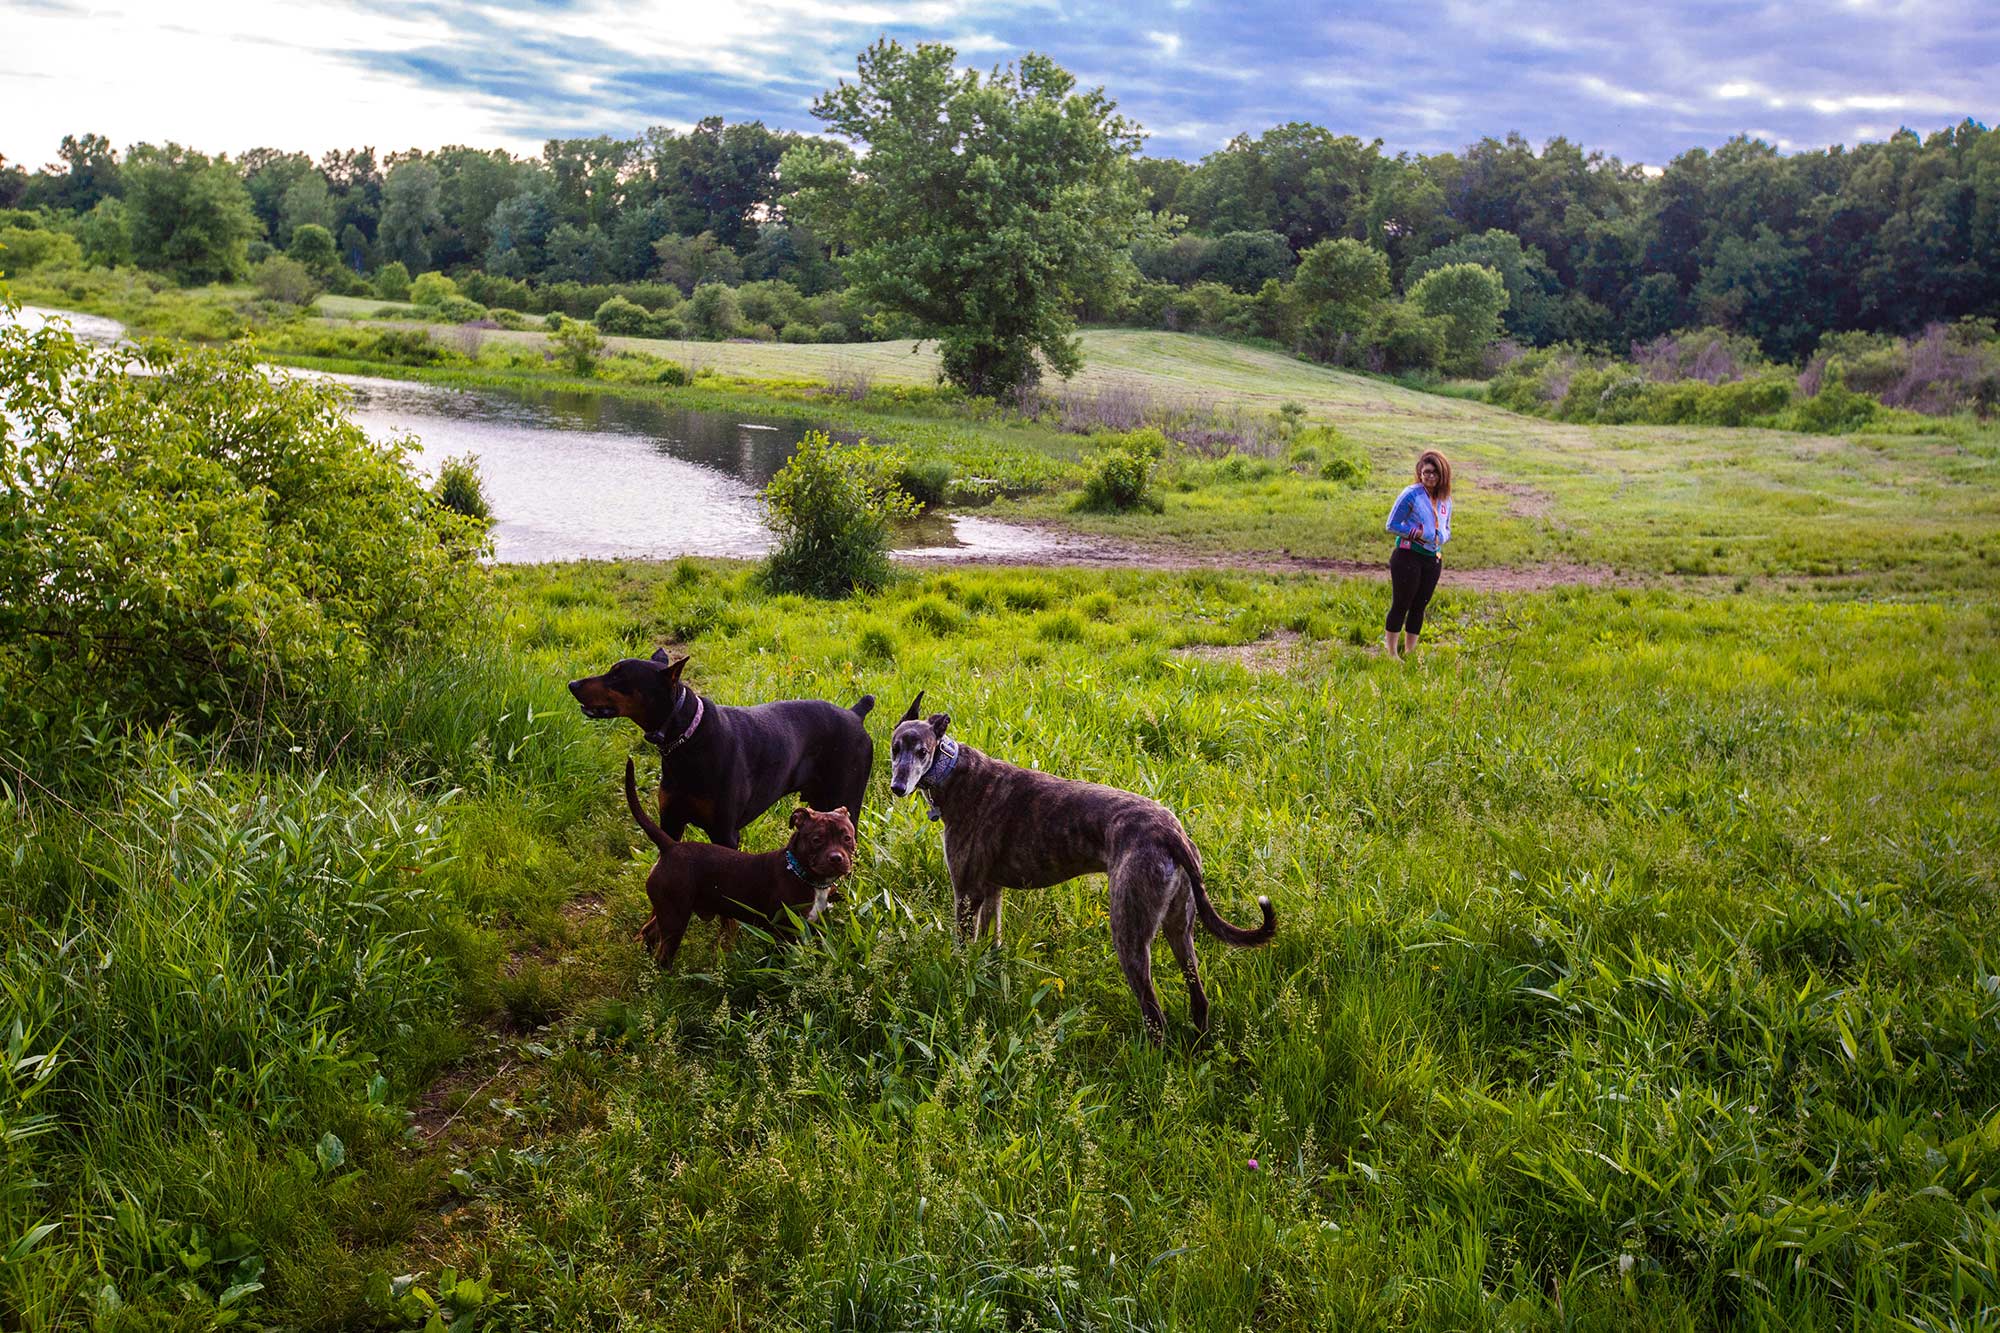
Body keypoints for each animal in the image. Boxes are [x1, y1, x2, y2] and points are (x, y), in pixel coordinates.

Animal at [568, 644, 872, 840]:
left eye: (618, 675)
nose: (572, 684)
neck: (687, 738)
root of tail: (855, 714)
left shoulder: (725, 833)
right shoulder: (670, 822)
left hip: (847, 800)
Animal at [616, 752, 852, 960]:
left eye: (847, 838)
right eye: (817, 839)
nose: (836, 858)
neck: (799, 871)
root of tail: (670, 846)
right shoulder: (783, 933)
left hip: (667, 911)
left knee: (650, 932)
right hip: (676, 916)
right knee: (663, 955)